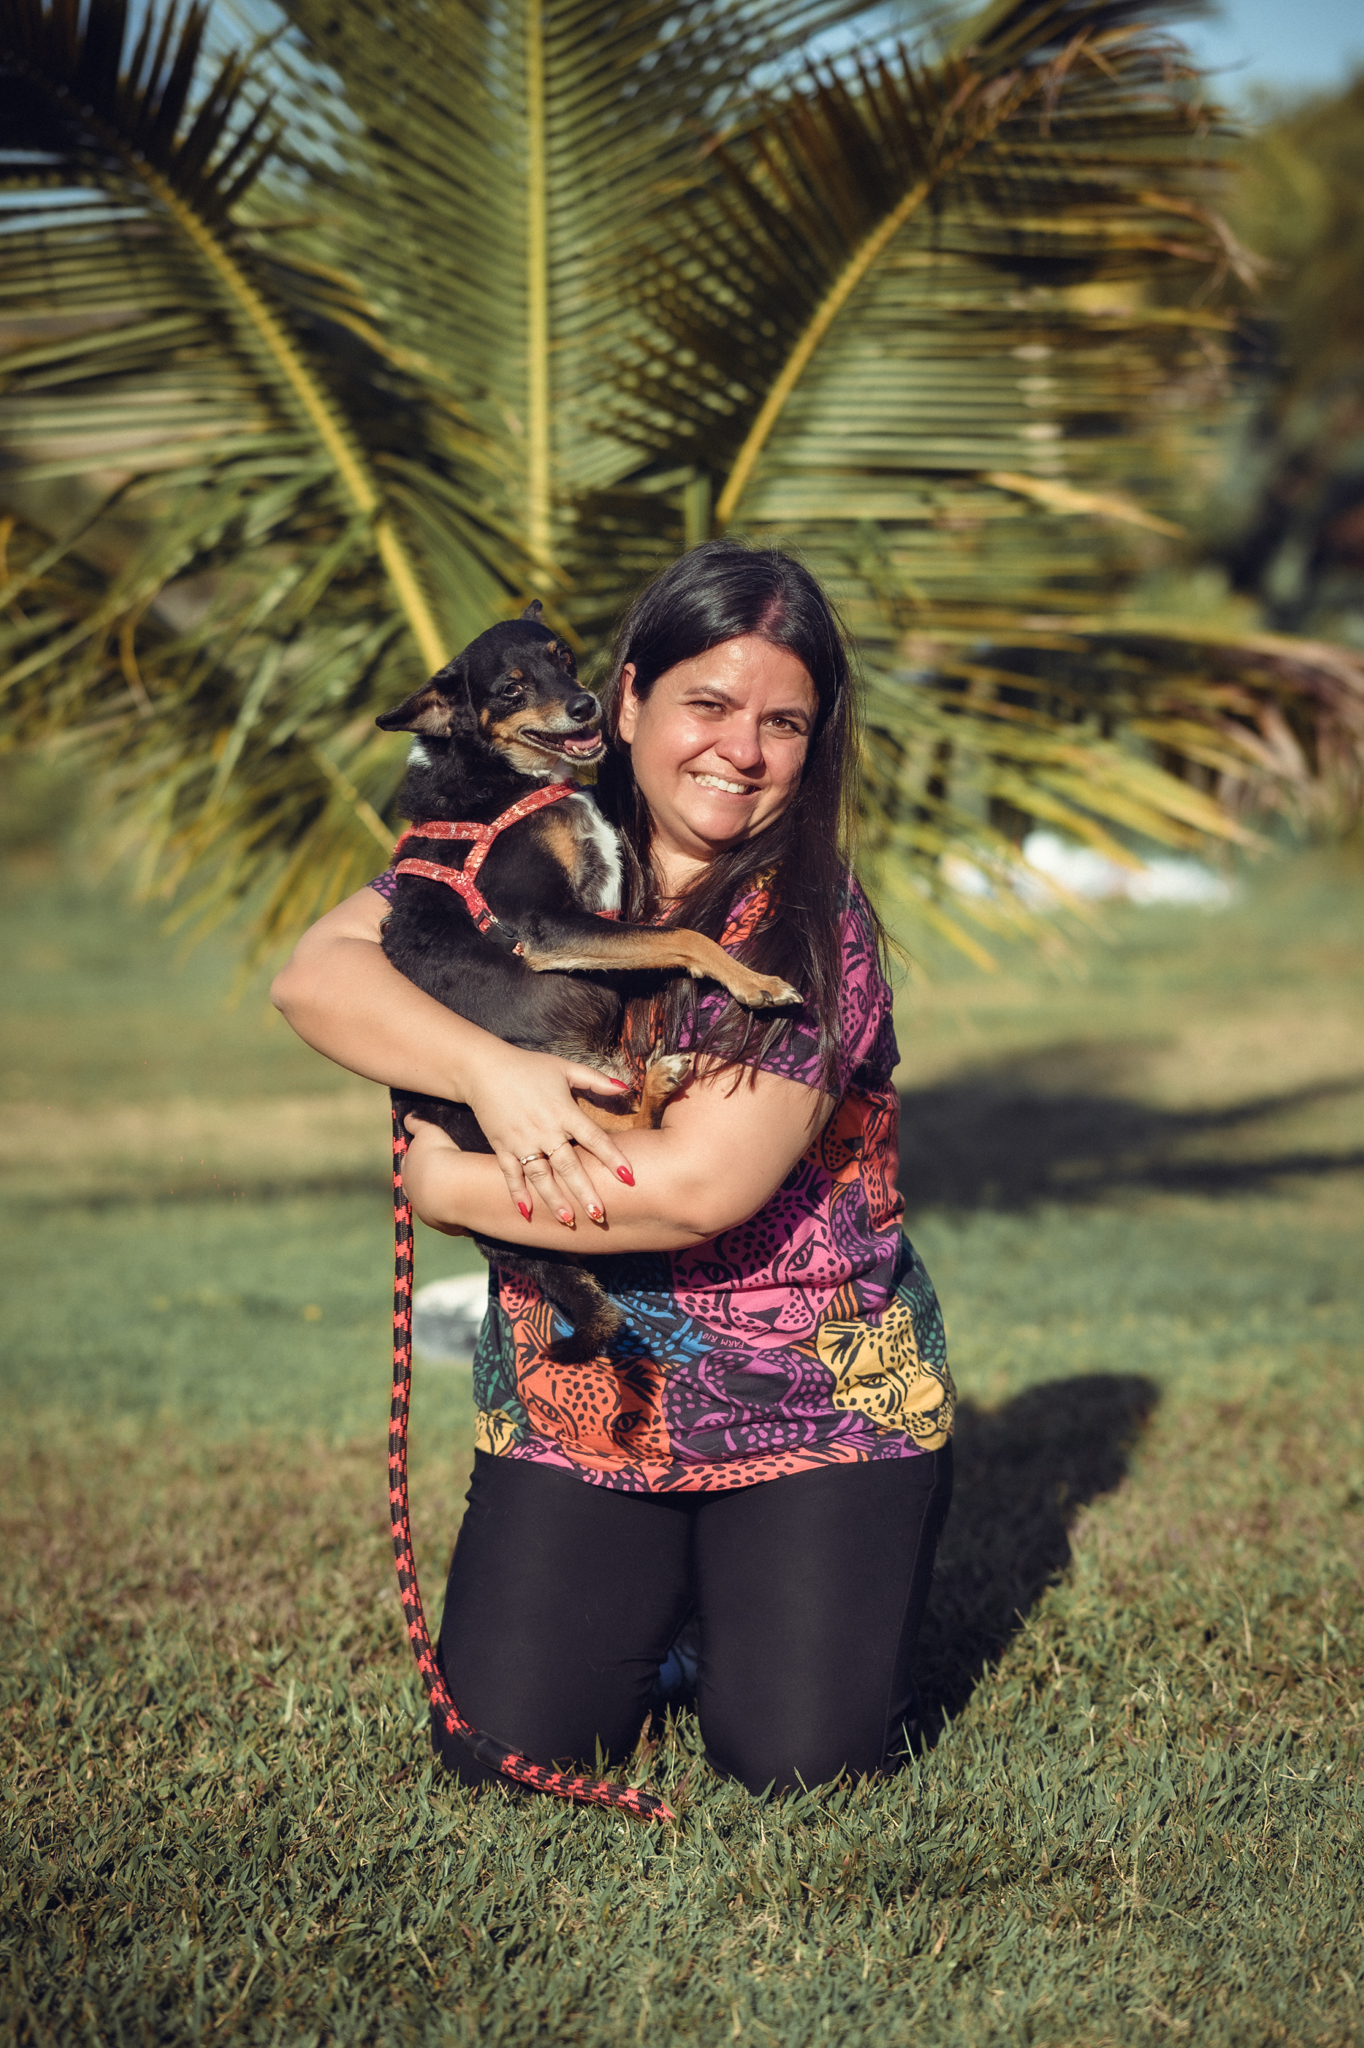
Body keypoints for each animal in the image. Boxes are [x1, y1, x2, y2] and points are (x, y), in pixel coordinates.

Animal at [376, 601, 800, 1363]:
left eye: (564, 658)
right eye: (510, 688)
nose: (585, 705)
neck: (508, 778)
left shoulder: (609, 906)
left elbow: (664, 934)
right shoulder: (551, 925)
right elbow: (684, 936)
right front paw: (756, 983)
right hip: (538, 1105)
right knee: (624, 1132)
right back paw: (658, 1082)